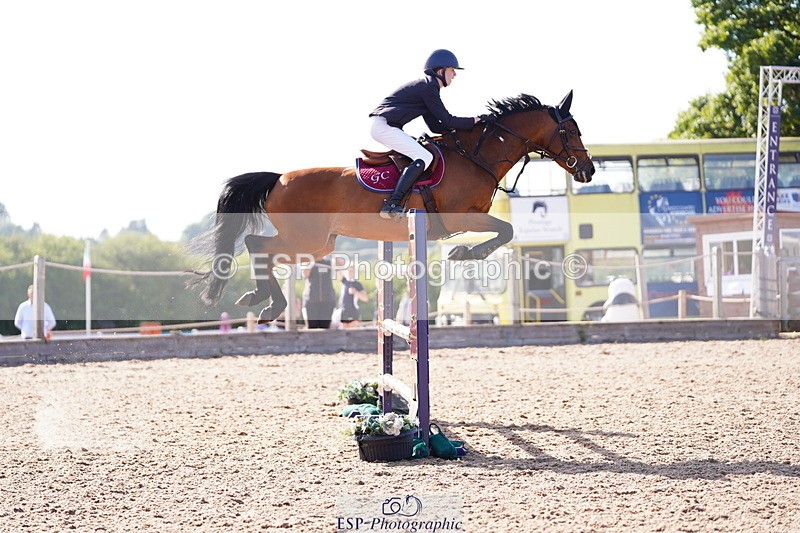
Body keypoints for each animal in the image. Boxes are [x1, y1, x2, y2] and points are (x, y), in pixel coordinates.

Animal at [191, 91, 595, 322]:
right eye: (571, 131)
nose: (588, 170)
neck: (477, 155)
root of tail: (277, 178)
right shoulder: (462, 217)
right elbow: (506, 231)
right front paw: (464, 254)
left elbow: (504, 233)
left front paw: (463, 253)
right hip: (307, 239)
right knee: (256, 245)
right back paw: (269, 304)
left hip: (319, 245)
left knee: (261, 248)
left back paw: (260, 298)